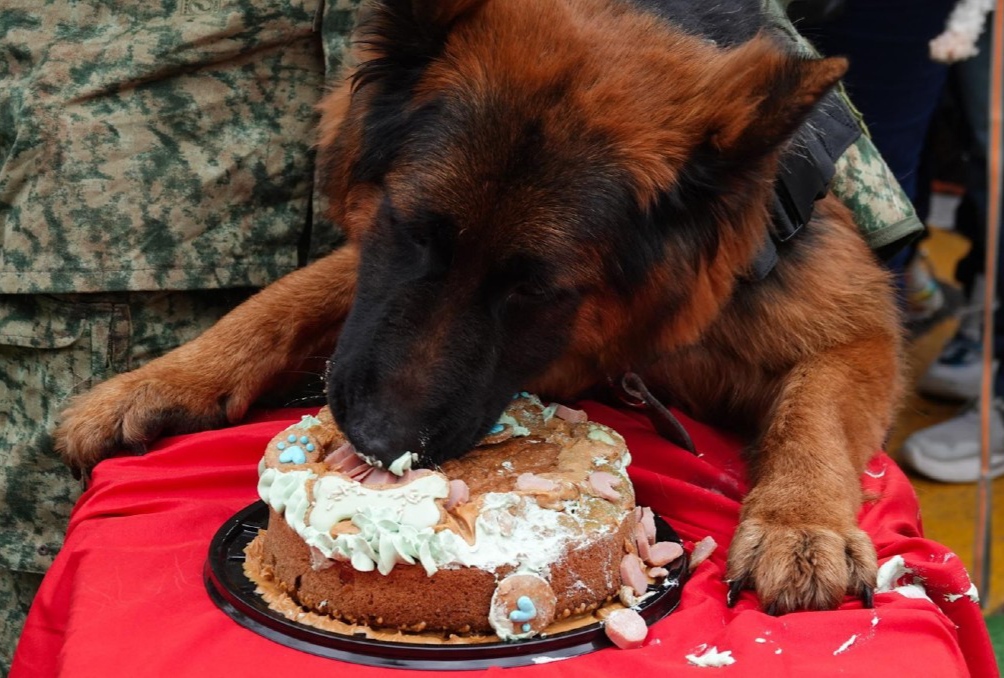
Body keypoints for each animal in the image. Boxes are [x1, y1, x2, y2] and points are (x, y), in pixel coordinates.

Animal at [54, 0, 903, 614]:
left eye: (535, 289)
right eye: (409, 228)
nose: (379, 443)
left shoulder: (851, 322)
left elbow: (816, 412)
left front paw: (801, 524)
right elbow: (289, 296)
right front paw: (155, 381)